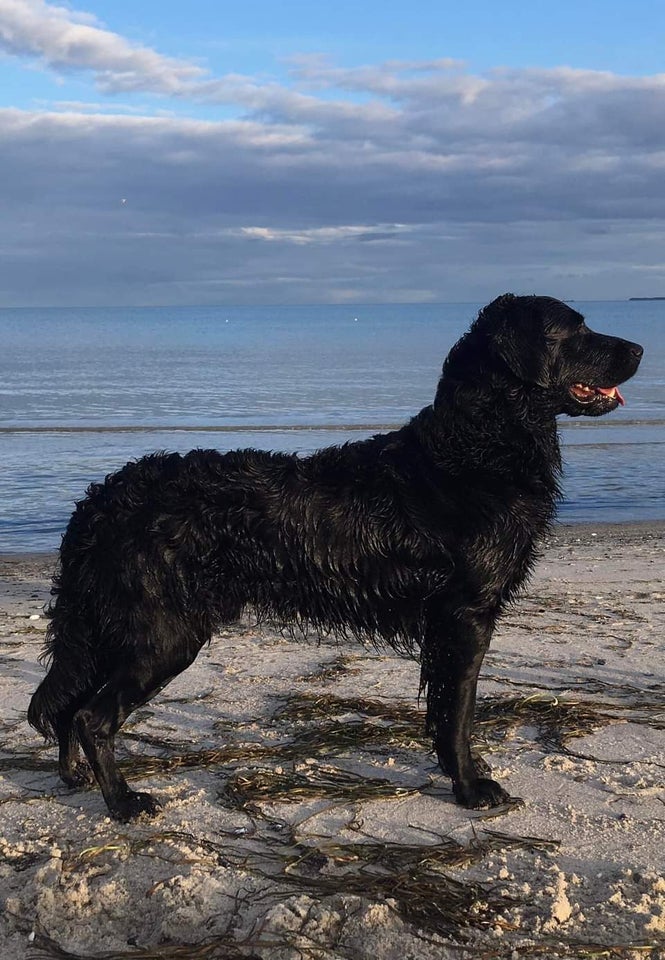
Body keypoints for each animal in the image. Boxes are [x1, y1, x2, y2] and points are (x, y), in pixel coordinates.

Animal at [28, 296, 640, 820]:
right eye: (574, 329)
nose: (638, 349)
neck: (475, 450)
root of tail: (101, 501)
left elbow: (446, 710)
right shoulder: (465, 615)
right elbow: (458, 711)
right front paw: (469, 787)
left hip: (116, 628)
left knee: (70, 705)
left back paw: (75, 779)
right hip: (162, 633)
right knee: (91, 716)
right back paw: (123, 802)